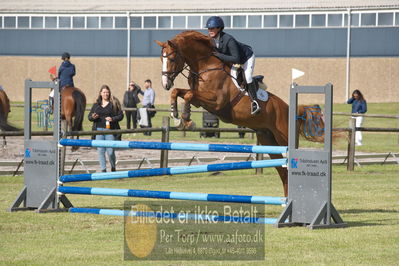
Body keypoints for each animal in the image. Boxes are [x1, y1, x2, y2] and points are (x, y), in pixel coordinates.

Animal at [155, 31, 326, 197]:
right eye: (161, 59)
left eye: (172, 58)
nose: (165, 84)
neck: (206, 66)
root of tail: (290, 110)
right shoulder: (200, 100)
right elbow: (179, 92)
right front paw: (177, 117)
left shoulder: (217, 102)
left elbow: (189, 95)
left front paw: (186, 120)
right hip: (268, 139)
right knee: (283, 172)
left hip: (283, 138)